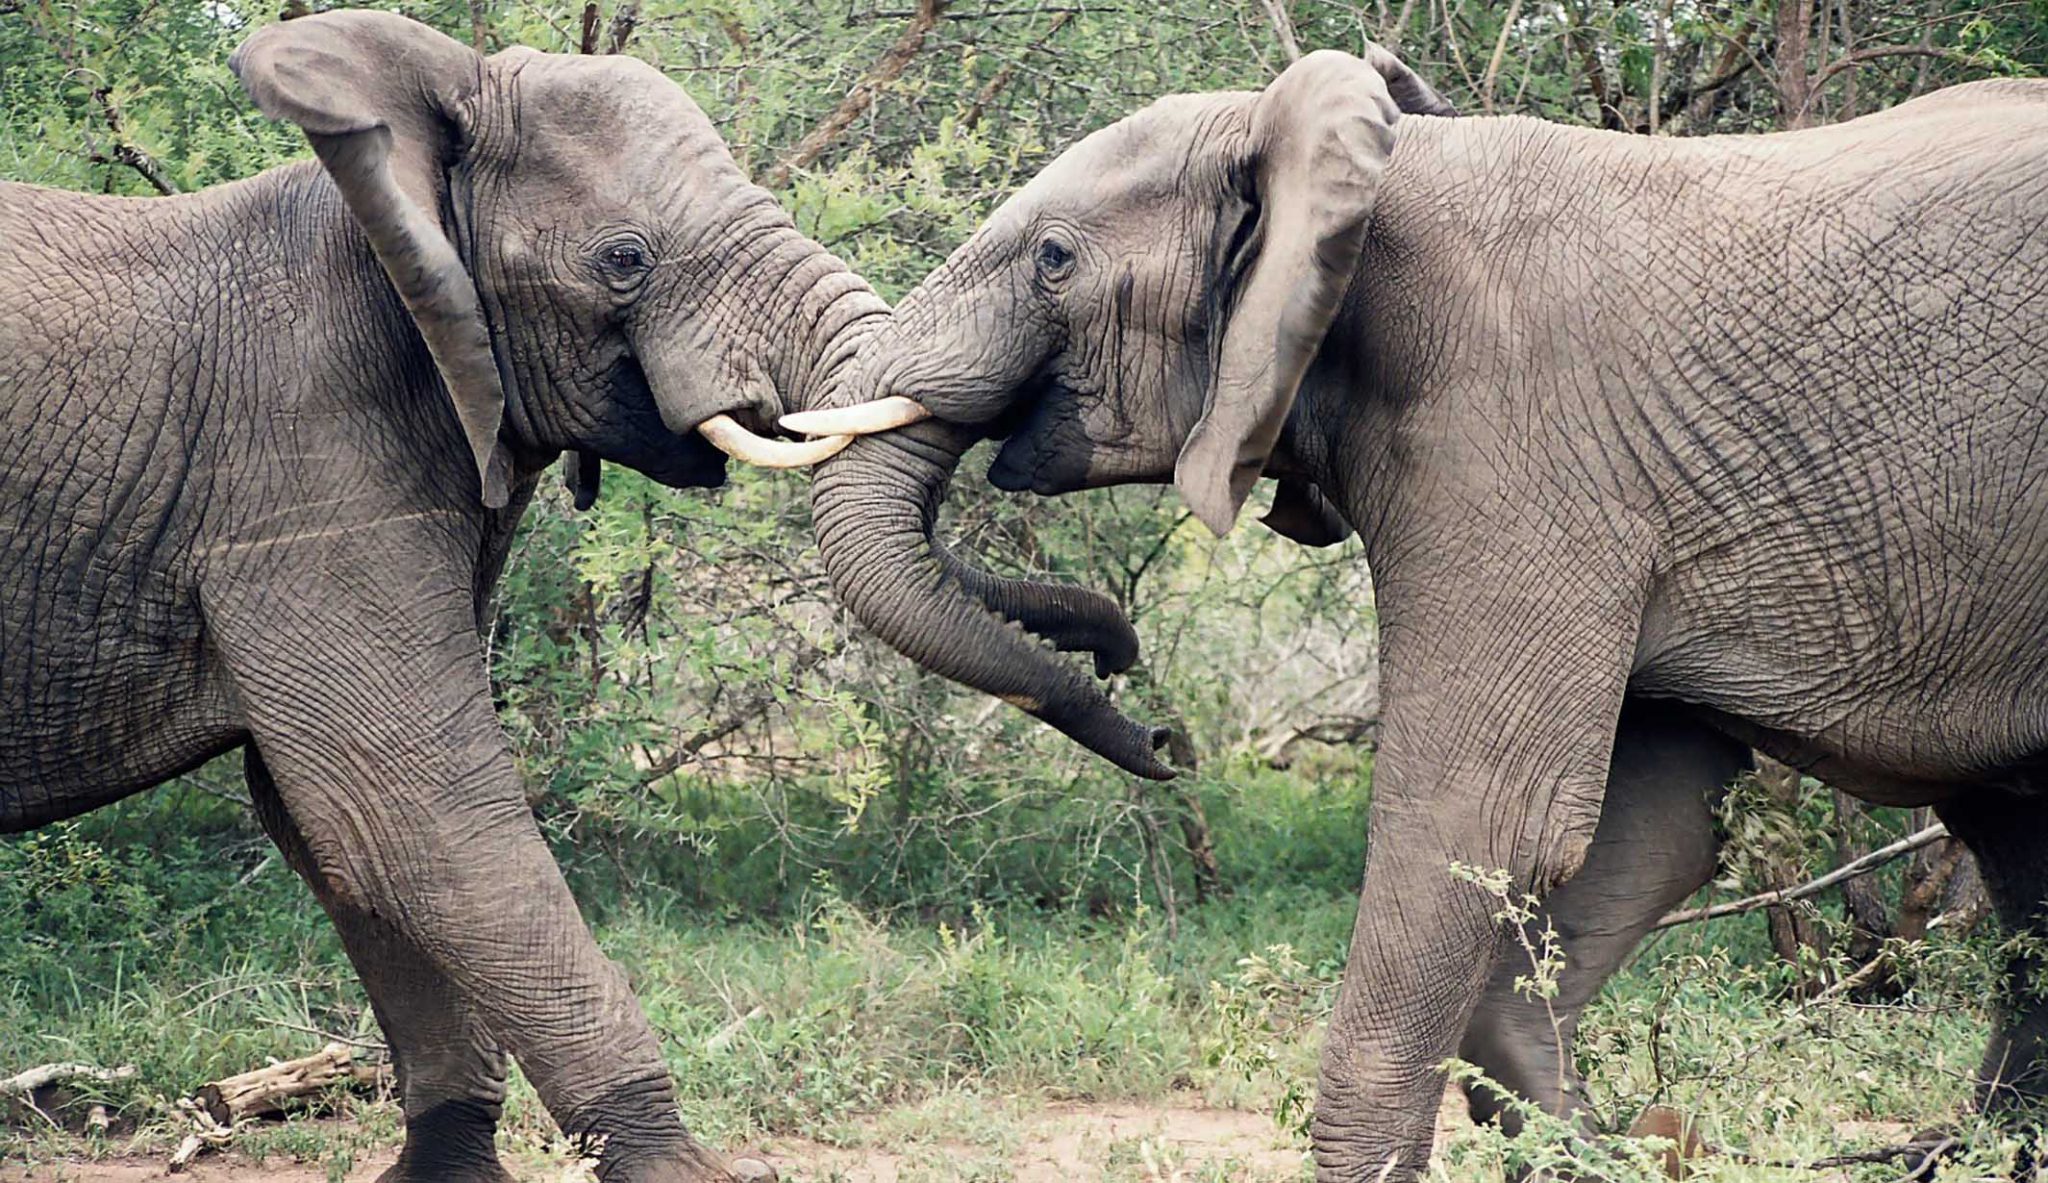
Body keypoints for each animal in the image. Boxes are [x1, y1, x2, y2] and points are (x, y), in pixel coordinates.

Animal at [0, 10, 1144, 1181]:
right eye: (624, 260)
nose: (1146, 711)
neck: (392, 199)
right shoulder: (293, 471)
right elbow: (403, 803)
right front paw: (681, 1172)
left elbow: (332, 825)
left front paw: (448, 1168)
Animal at [792, 45, 2048, 1182]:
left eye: (1053, 260)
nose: (1150, 726)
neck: (1363, 171)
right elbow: (1661, 820)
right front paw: (1590, 1135)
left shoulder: (1512, 444)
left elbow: (1477, 816)